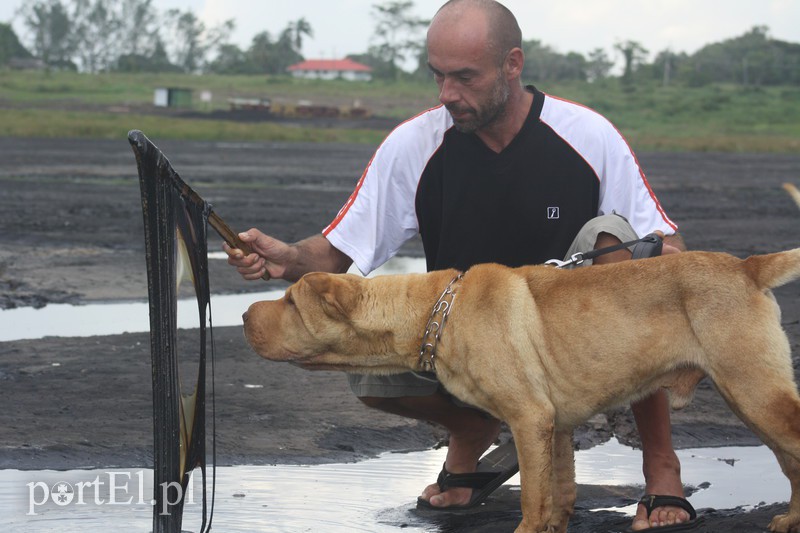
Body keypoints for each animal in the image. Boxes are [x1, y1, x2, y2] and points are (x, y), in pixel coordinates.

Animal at [241, 250, 800, 532]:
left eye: (289, 302)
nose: (244, 314)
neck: (438, 311)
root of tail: (746, 265)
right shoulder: (556, 426)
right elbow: (558, 495)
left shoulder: (529, 419)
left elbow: (532, 499)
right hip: (754, 398)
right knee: (791, 463)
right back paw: (790, 518)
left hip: (754, 392)